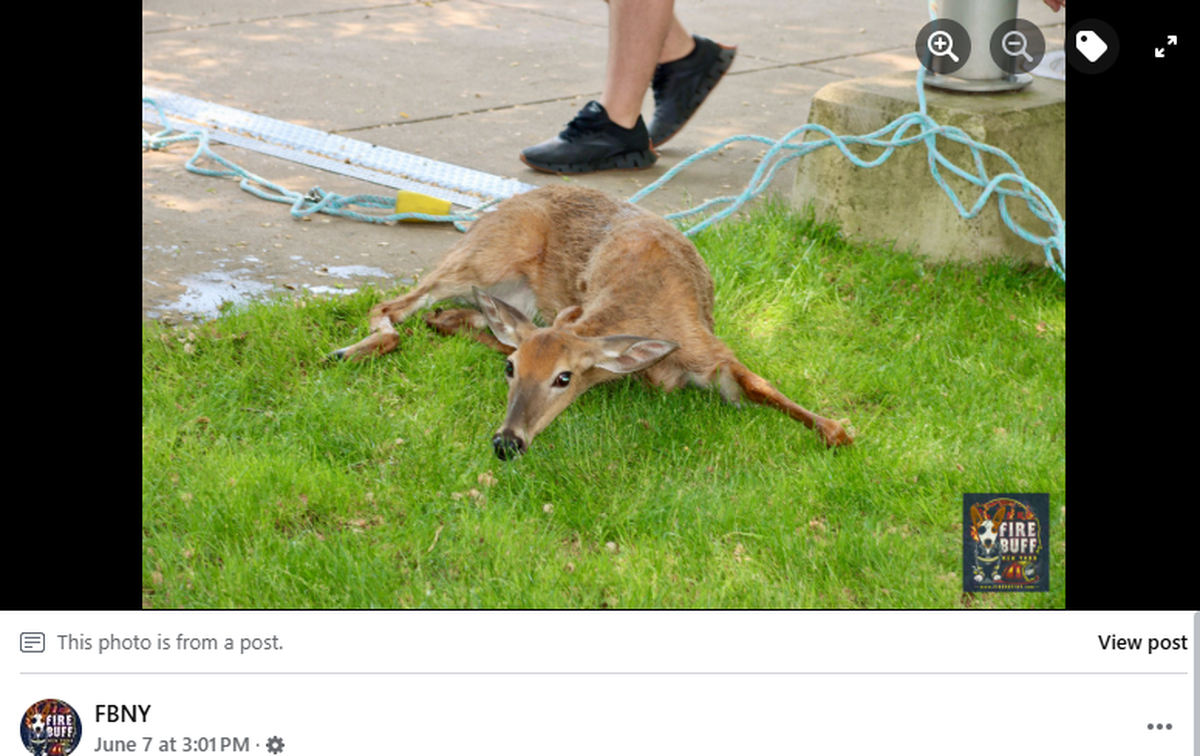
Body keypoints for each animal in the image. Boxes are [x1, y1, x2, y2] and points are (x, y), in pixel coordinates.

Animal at [332, 185, 853, 459]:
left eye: (564, 377)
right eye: (511, 372)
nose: (506, 442)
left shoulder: (707, 347)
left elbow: (759, 385)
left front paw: (837, 428)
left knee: (452, 314)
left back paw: (442, 321)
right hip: (483, 255)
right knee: (393, 306)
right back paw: (351, 349)